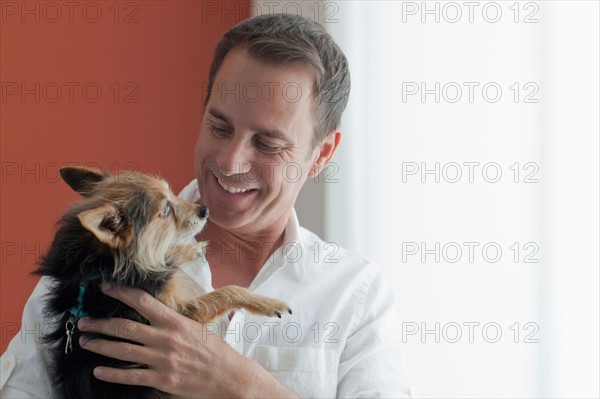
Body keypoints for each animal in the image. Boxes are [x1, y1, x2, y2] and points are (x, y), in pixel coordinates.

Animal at [35, 167, 290, 399]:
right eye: (166, 210)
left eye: (172, 195)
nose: (204, 210)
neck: (100, 263)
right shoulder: (181, 312)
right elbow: (229, 291)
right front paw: (268, 304)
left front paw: (188, 250)